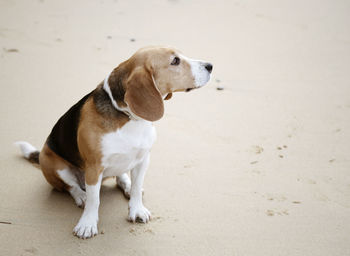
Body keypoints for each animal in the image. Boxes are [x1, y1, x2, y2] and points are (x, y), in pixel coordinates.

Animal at [15, 45, 212, 238]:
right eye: (175, 61)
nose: (210, 66)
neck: (130, 118)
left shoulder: (143, 159)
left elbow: (137, 186)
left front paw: (136, 208)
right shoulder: (94, 167)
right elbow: (94, 200)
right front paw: (87, 224)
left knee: (120, 176)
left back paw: (126, 185)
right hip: (52, 162)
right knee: (70, 186)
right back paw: (81, 195)